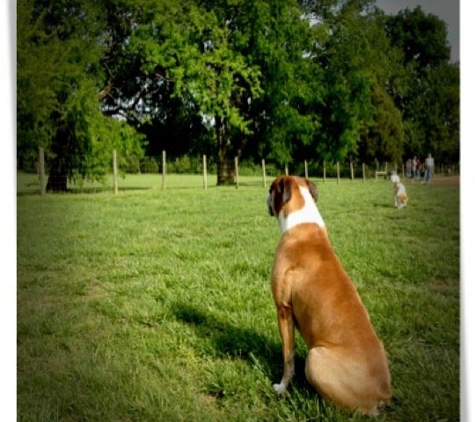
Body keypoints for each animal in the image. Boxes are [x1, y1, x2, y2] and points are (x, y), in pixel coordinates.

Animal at [266, 175, 392, 416]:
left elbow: (288, 357)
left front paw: (282, 387)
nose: (265, 197)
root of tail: (382, 396)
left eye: (270, 189)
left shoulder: (283, 309)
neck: (302, 223)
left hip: (315, 358)